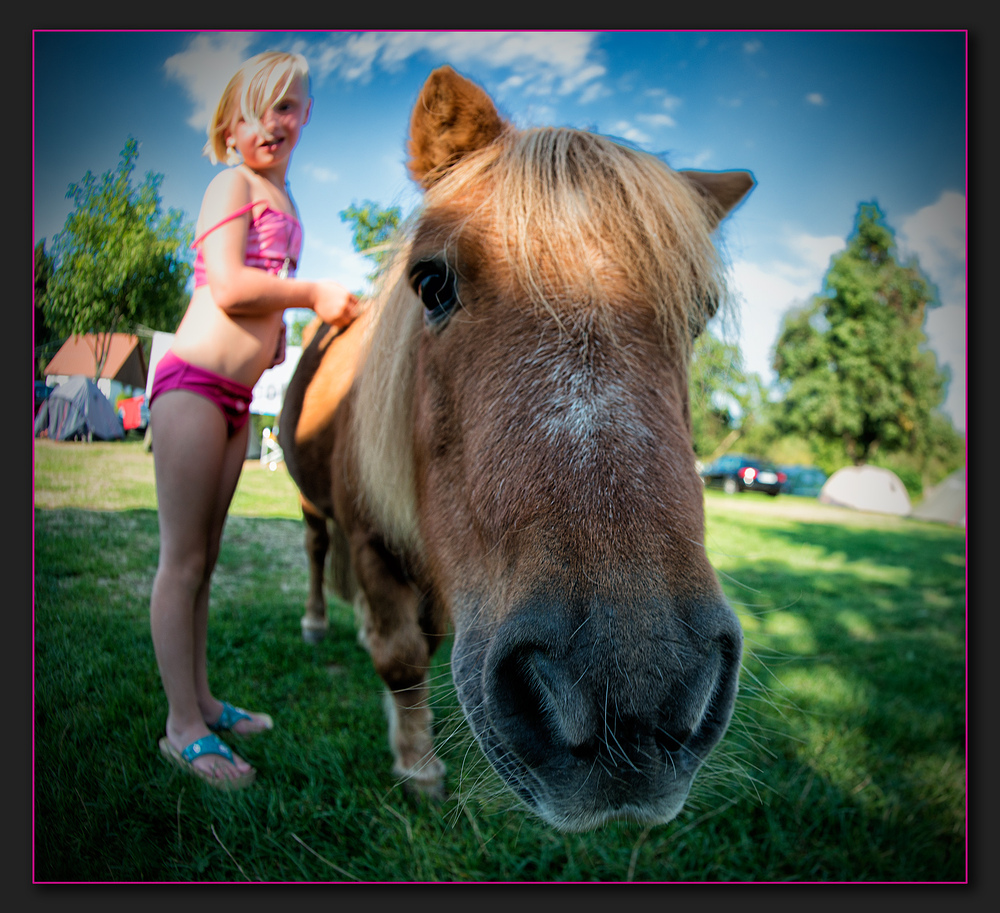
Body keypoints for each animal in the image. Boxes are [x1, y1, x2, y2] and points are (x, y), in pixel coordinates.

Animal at [280, 67, 752, 832]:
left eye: (701, 312)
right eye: (430, 282)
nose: (634, 689)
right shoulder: (374, 539)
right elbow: (403, 658)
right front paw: (418, 766)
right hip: (312, 503)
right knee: (319, 551)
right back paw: (320, 622)